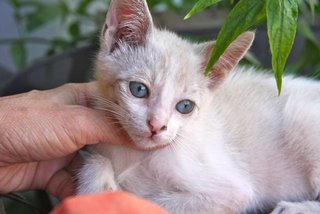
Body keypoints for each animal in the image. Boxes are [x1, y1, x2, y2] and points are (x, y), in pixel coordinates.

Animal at [77, 0, 320, 213]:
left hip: (302, 116)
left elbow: (153, 202)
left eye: (185, 106)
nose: (157, 126)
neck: (133, 153)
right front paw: (95, 186)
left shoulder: (232, 191)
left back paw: (294, 208)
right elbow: (96, 159)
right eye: (138, 89)